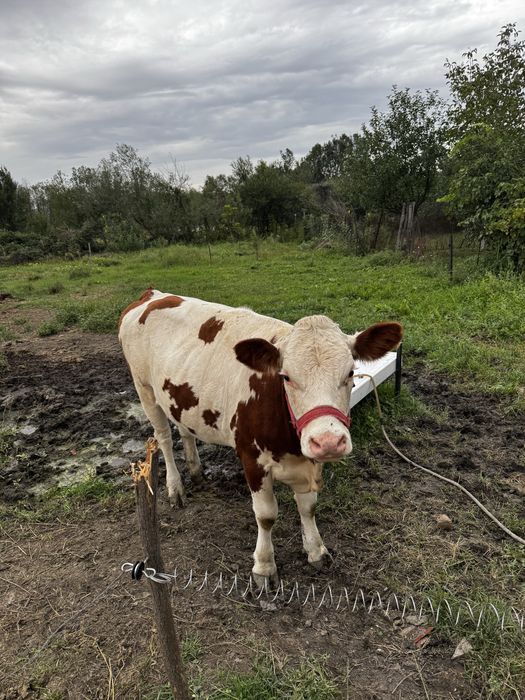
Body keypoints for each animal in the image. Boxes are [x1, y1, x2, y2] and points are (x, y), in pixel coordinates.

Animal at [119, 289, 402, 586]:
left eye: (350, 373)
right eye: (286, 377)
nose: (328, 441)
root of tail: (154, 295)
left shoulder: (309, 458)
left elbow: (308, 508)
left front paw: (316, 551)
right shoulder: (251, 458)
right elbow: (266, 516)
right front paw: (264, 567)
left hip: (181, 397)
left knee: (185, 431)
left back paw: (195, 471)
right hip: (144, 389)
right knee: (163, 438)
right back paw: (176, 488)